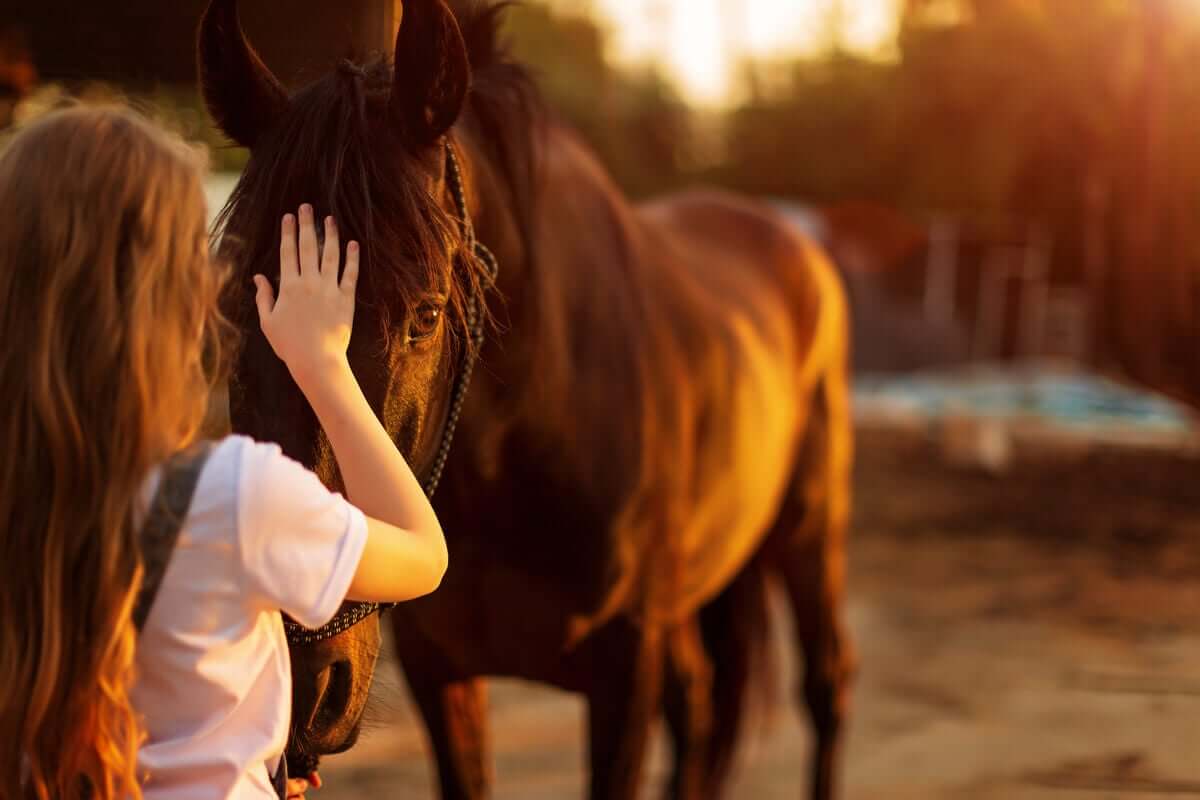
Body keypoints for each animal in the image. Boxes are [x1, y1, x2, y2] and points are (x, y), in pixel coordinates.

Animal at [199, 1, 856, 797]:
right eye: (235, 309)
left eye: (426, 314)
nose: (299, 681)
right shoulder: (441, 671)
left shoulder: (625, 669)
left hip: (810, 531)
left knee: (824, 686)